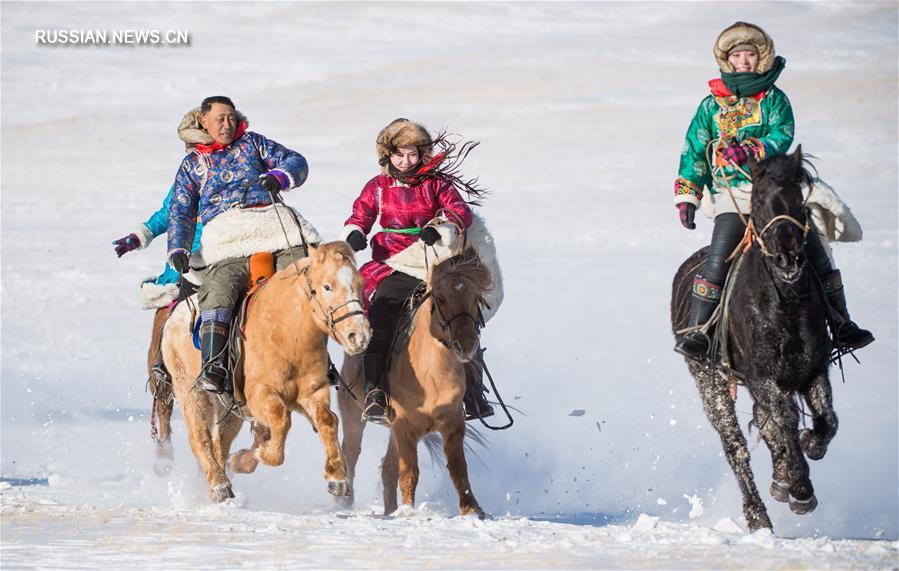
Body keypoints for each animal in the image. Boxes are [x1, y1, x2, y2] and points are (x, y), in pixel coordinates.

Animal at [162, 244, 370, 502]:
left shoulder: (312, 390)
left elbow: (327, 420)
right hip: (191, 393)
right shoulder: (260, 394)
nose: (359, 336)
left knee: (220, 442)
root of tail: (175, 316)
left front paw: (337, 478)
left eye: (360, 284)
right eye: (327, 286)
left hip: (230, 409)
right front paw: (263, 454)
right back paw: (219, 485)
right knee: (200, 438)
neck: (286, 332)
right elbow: (281, 420)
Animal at [340, 248, 496, 516]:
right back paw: (346, 503)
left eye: (475, 297)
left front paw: (472, 509)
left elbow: (458, 467)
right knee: (350, 456)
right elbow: (409, 472)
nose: (466, 346)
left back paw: (389, 512)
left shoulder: (452, 420)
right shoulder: (405, 424)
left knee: (387, 469)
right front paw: (408, 512)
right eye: (440, 299)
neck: (431, 375)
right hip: (353, 417)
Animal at [672, 147, 840, 532]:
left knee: (767, 424)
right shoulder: (763, 377)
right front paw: (801, 488)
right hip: (711, 385)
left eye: (798, 200)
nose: (787, 259)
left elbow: (826, 420)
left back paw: (779, 480)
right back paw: (758, 514)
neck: (784, 304)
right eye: (760, 201)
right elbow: (786, 421)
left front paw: (806, 452)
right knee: (735, 446)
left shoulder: (814, 370)